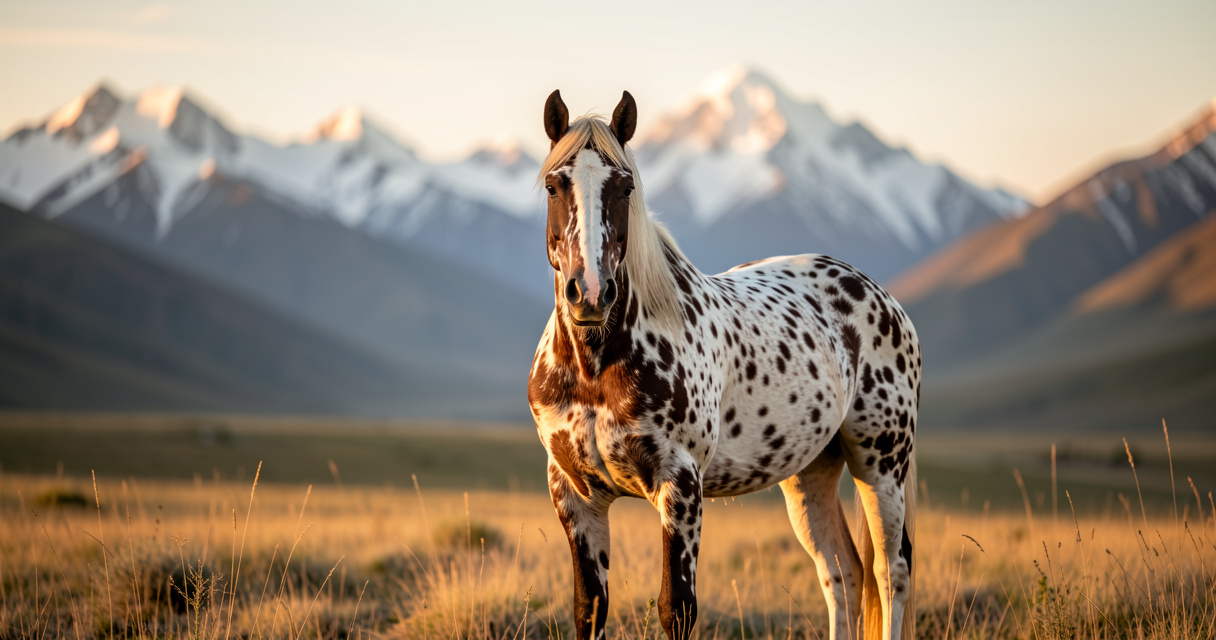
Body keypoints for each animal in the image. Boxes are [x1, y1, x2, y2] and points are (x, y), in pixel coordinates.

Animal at [527, 89, 920, 640]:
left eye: (625, 186)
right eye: (553, 185)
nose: (590, 293)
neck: (594, 369)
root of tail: (882, 297)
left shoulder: (680, 485)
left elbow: (677, 608)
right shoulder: (575, 495)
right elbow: (589, 608)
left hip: (882, 462)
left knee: (890, 571)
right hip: (811, 471)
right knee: (842, 571)